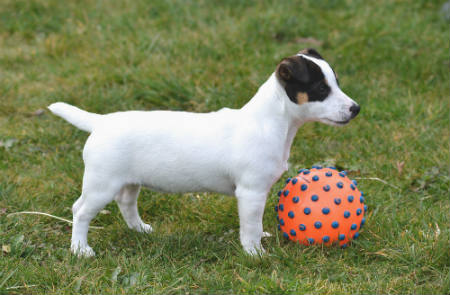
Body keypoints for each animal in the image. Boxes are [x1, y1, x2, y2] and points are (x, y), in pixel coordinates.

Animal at [48, 48, 358, 256]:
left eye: (337, 83)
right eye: (321, 89)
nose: (356, 108)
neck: (272, 121)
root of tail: (100, 122)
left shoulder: (258, 193)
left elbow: (256, 224)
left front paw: (261, 239)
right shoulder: (251, 192)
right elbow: (250, 226)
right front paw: (255, 254)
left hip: (127, 180)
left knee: (125, 203)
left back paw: (140, 229)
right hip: (102, 184)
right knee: (81, 211)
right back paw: (80, 249)